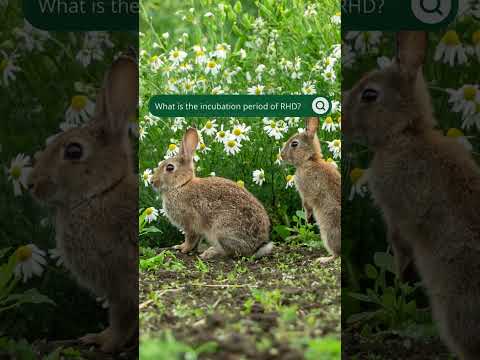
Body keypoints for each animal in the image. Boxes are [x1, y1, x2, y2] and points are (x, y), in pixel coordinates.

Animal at [27, 54, 138, 352]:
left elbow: (122, 318)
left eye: (74, 151)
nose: (32, 184)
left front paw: (106, 343)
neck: (100, 193)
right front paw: (98, 338)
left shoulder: (121, 281)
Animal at [152, 128, 272, 260]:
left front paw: (183, 249)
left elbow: (190, 238)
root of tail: (256, 248)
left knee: (232, 252)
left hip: (222, 230)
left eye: (169, 168)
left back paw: (210, 252)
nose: (152, 181)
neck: (181, 185)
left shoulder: (190, 223)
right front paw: (182, 247)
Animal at [282, 118, 342, 262]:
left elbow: (308, 204)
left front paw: (307, 217)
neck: (309, 160)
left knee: (337, 254)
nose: (281, 155)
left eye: (294, 144)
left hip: (328, 230)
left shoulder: (306, 192)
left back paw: (324, 259)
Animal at [344, 31, 480, 360]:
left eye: (369, 95)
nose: (342, 119)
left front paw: (399, 274)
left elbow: (400, 243)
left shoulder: (395, 213)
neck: (404, 133)